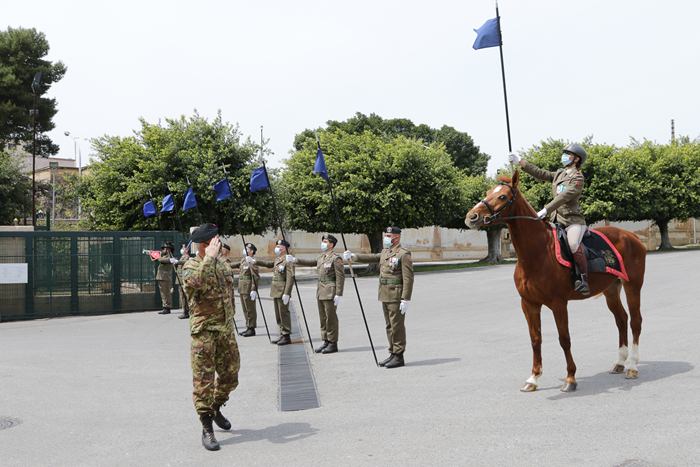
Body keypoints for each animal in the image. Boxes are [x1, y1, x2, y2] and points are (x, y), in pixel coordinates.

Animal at [464, 171, 644, 392]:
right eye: (488, 192)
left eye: (502, 196)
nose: (471, 217)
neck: (538, 252)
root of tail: (631, 235)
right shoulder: (529, 304)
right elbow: (535, 339)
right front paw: (533, 377)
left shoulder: (559, 303)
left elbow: (564, 339)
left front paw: (570, 378)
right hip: (611, 289)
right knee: (621, 319)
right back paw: (620, 362)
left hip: (633, 286)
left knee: (635, 321)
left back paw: (632, 366)